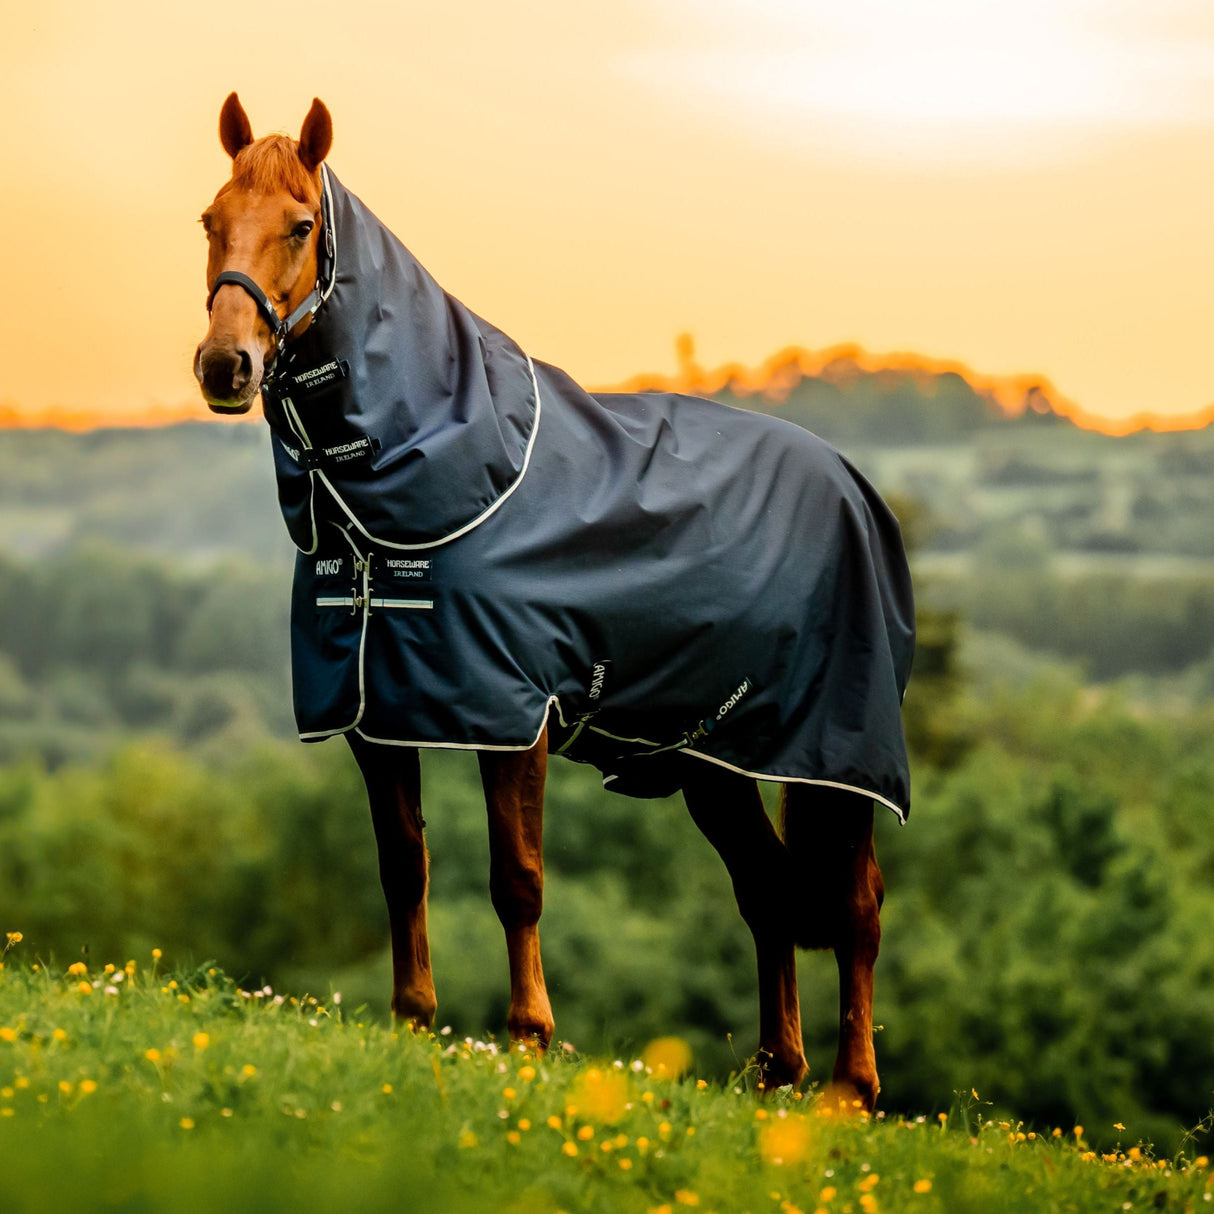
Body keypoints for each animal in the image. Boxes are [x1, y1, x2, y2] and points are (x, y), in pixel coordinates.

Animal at [193, 93, 914, 1108]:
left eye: (300, 226)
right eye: (209, 222)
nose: (225, 367)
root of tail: (853, 485)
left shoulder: (511, 713)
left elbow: (517, 877)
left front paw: (529, 1035)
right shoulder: (376, 714)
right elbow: (403, 865)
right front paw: (412, 1019)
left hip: (838, 754)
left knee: (855, 902)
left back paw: (851, 1088)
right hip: (715, 759)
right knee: (768, 889)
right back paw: (777, 1072)